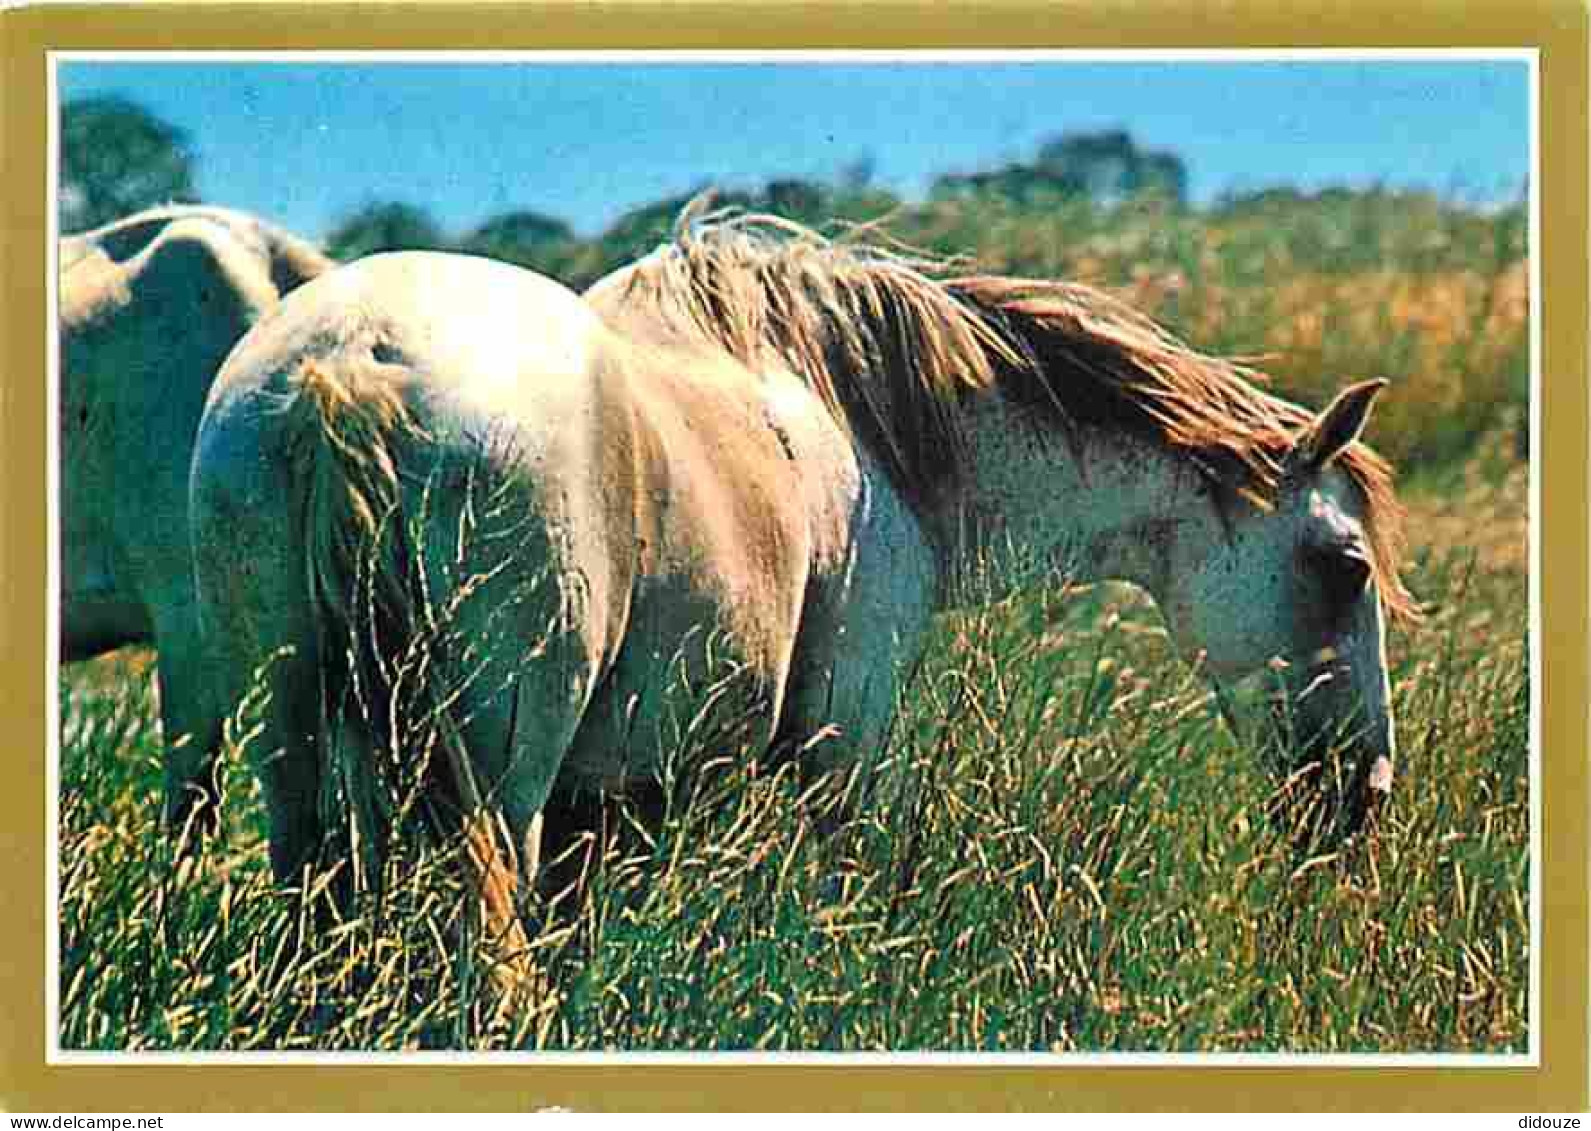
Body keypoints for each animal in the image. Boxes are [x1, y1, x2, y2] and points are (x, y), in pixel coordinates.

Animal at [186, 216, 1419, 979]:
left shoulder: (618, 791)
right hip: (496, 786)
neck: (864, 416)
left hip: (297, 758)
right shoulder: (839, 738)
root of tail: (353, 363)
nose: (1364, 791)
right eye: (1342, 565)